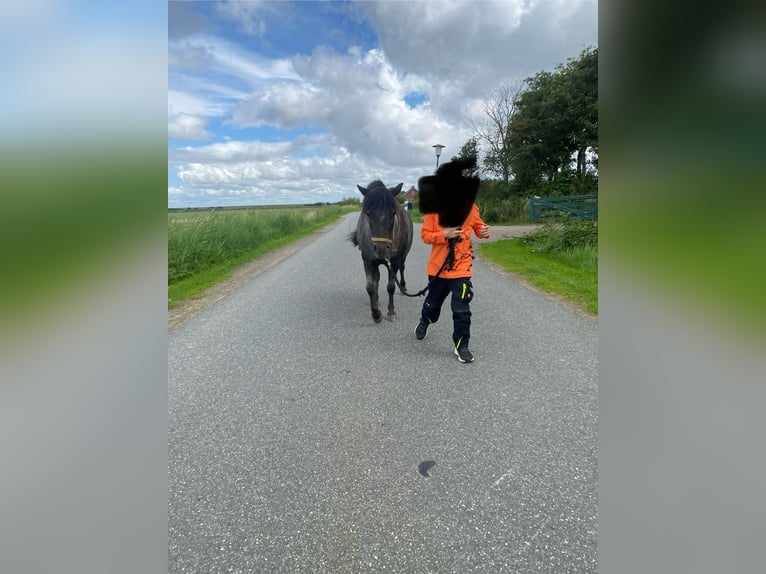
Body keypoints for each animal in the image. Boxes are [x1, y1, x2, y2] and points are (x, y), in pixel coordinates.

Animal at [352, 181, 414, 322]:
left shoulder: (394, 263)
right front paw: (376, 313)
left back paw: (403, 287)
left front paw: (391, 312)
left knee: (402, 268)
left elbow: (391, 287)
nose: (381, 249)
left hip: (403, 258)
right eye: (368, 213)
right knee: (377, 279)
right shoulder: (368, 262)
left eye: (393, 213)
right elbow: (370, 287)